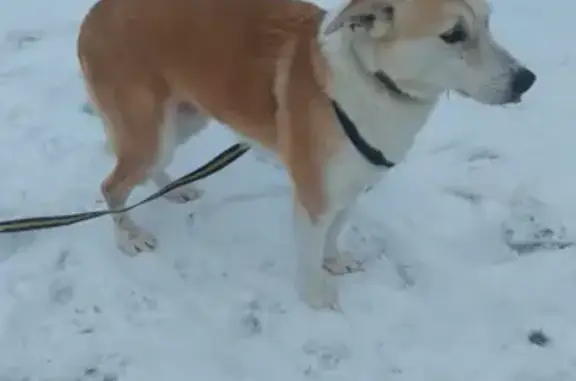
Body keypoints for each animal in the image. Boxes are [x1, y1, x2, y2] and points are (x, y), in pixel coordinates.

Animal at [76, 0, 536, 306]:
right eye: (454, 34)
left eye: (488, 23)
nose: (527, 80)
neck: (372, 80)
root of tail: (95, 13)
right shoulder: (315, 194)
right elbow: (311, 248)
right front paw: (316, 295)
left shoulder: (351, 185)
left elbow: (334, 234)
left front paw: (334, 261)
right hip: (152, 132)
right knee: (112, 186)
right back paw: (128, 238)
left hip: (181, 122)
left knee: (150, 170)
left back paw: (173, 189)